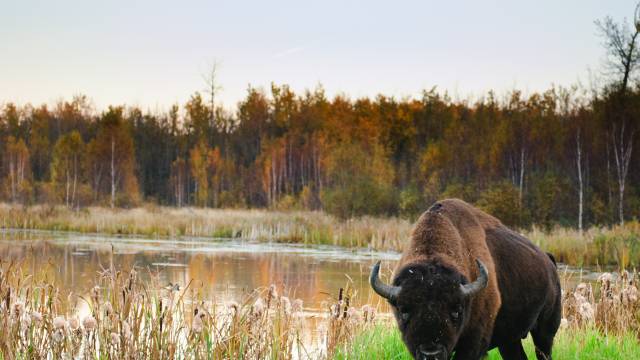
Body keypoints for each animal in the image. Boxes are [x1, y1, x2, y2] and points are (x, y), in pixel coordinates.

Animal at [370, 198, 560, 358]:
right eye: (404, 310)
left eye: (456, 310)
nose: (431, 353)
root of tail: (549, 261)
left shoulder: (473, 342)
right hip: (510, 340)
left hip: (545, 332)